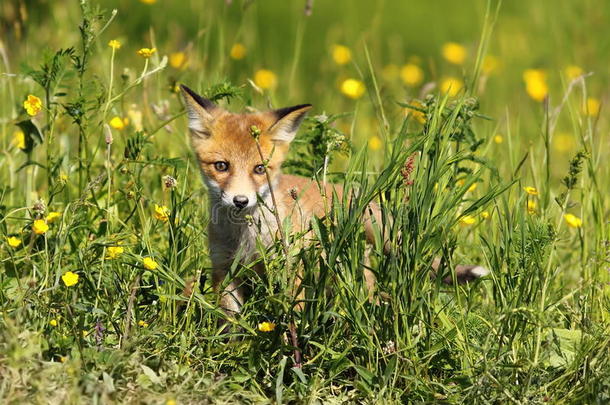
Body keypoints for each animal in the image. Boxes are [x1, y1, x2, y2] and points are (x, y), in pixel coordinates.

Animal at [178, 84, 486, 312]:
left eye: (260, 169)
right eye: (221, 166)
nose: (241, 201)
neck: (247, 238)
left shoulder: (291, 268)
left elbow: (292, 315)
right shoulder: (224, 268)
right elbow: (231, 324)